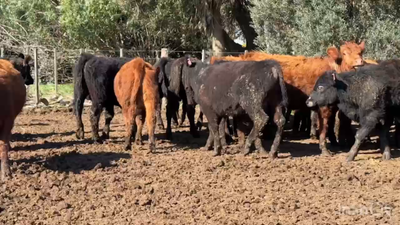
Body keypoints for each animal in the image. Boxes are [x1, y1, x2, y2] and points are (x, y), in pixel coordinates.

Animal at [212, 41, 366, 156]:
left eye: (360, 52)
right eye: (345, 53)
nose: (360, 62)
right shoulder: (324, 107)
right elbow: (324, 127)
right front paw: (325, 149)